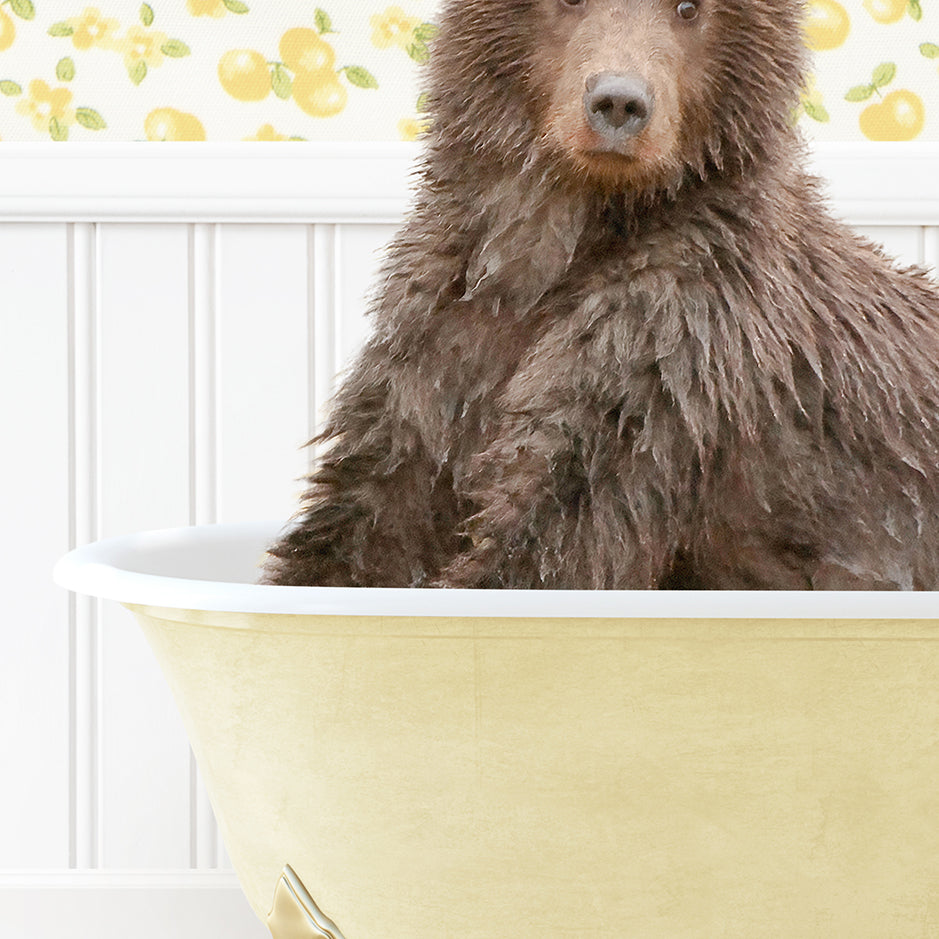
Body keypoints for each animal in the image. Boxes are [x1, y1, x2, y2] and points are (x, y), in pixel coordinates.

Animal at [260, 0, 939, 592]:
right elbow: (371, 507)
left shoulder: (673, 345)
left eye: (689, 7)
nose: (619, 101)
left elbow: (557, 532)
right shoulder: (443, 334)